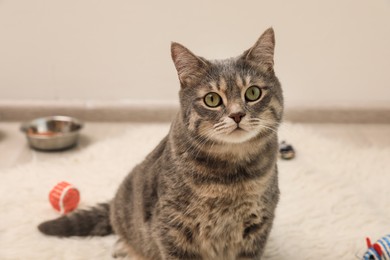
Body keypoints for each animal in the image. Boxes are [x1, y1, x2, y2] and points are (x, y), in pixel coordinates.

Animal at [38, 27, 284, 258]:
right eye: (212, 99)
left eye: (253, 93)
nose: (237, 115)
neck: (230, 179)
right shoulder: (173, 225)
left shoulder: (258, 225)